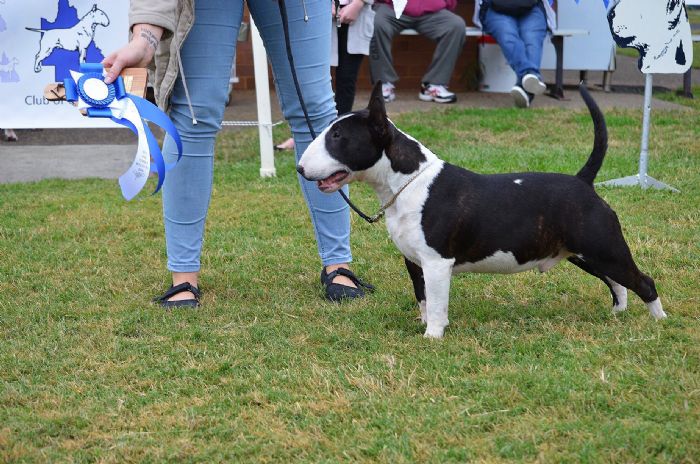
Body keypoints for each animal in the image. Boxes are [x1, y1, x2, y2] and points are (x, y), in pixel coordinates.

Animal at [297, 82, 666, 338]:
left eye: (338, 136)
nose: (299, 169)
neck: (407, 183)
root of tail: (583, 181)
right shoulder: (414, 263)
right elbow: (423, 299)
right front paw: (424, 325)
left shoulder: (437, 263)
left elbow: (438, 303)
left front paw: (432, 337)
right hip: (585, 253)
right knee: (617, 281)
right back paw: (618, 313)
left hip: (604, 247)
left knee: (643, 281)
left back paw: (660, 322)